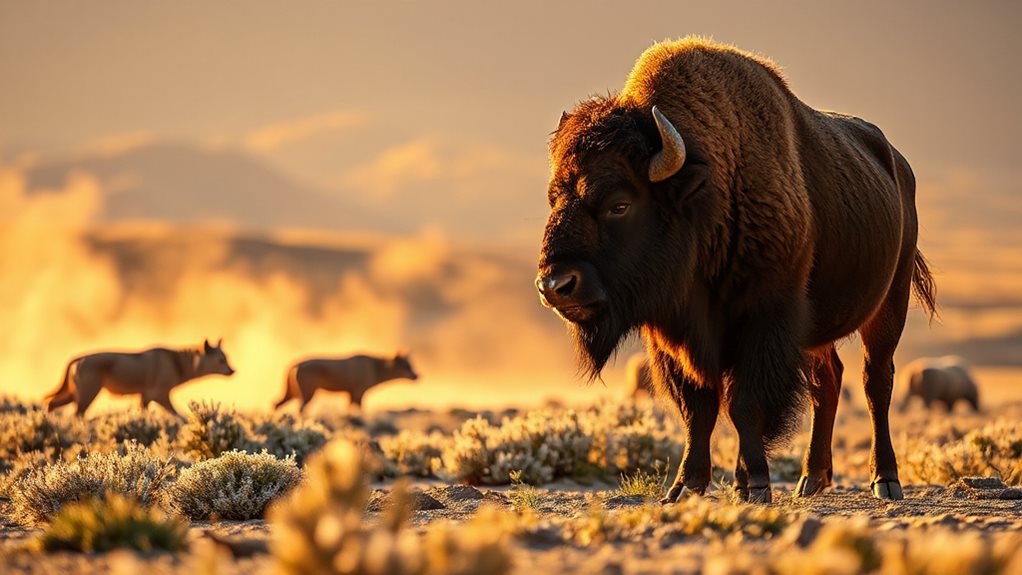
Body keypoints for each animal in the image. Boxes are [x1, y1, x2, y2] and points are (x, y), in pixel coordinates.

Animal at [536, 38, 936, 503]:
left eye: (620, 203)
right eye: (553, 199)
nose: (555, 285)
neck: (706, 192)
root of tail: (898, 166)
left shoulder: (764, 320)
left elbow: (744, 405)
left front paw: (756, 483)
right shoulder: (675, 338)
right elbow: (699, 409)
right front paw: (685, 486)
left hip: (889, 303)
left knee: (876, 383)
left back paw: (884, 480)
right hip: (817, 331)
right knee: (828, 383)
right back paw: (811, 479)